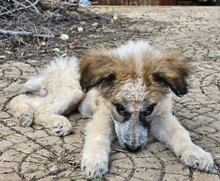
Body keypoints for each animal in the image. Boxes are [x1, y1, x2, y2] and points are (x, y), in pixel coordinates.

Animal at [9, 40, 214, 177]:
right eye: (120, 108)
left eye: (148, 109)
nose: (133, 148)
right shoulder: (104, 114)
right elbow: (98, 137)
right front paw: (94, 161)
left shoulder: (161, 115)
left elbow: (179, 133)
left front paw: (196, 153)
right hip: (74, 91)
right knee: (38, 108)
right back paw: (52, 121)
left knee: (26, 99)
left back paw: (25, 115)